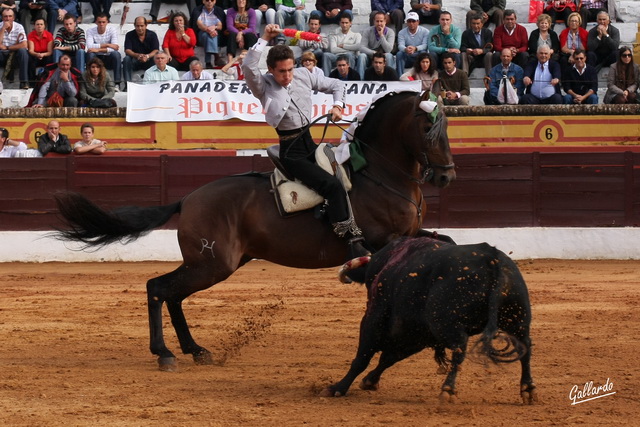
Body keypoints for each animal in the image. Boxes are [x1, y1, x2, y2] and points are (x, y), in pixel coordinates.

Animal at [53, 91, 456, 372]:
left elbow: (448, 242)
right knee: (159, 288)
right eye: (427, 129)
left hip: (210, 263)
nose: (446, 177)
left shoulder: (413, 234)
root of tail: (188, 198)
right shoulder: (387, 241)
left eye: (446, 128)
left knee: (172, 294)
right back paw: (166, 353)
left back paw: (195, 350)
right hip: (213, 264)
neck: (379, 174)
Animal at [322, 237, 536, 404]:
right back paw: (528, 390)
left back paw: (447, 390)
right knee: (524, 348)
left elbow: (363, 357)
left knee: (459, 348)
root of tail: (491, 258)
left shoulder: (374, 318)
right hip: (518, 319)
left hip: (445, 323)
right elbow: (388, 358)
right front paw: (369, 381)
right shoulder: (417, 335)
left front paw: (337, 388)